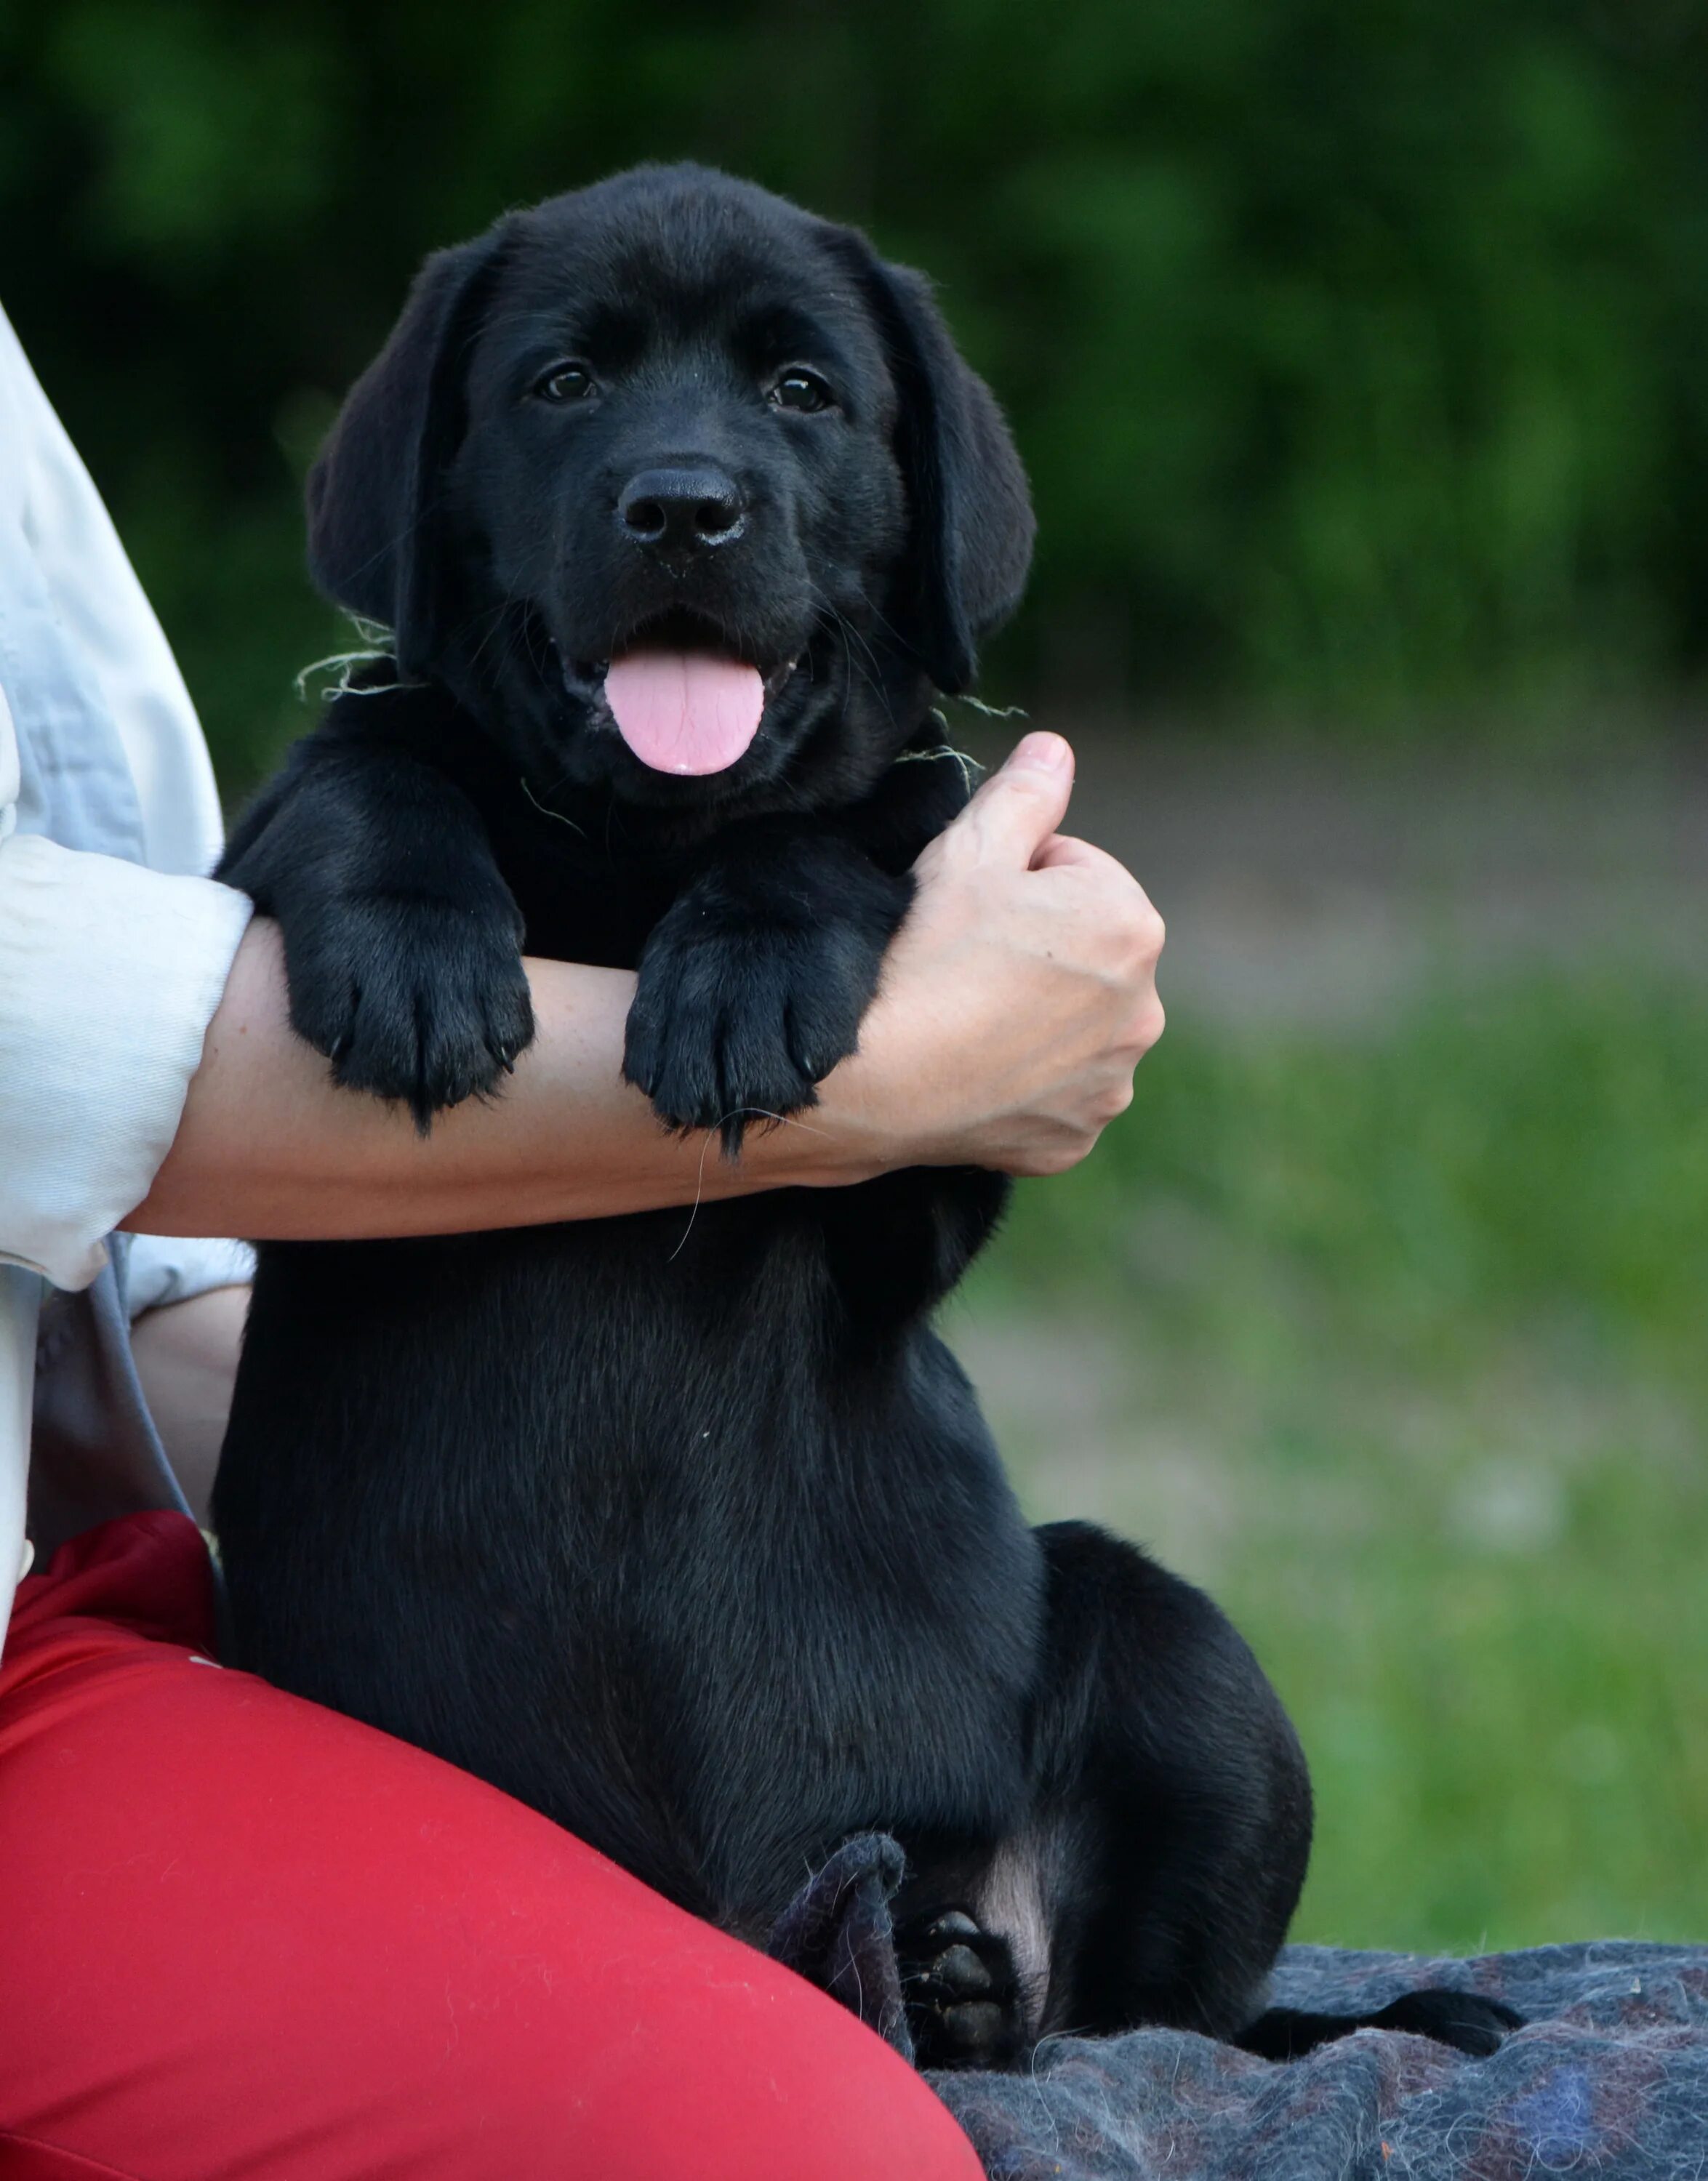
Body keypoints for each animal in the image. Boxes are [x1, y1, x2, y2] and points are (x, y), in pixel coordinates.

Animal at [217, 161, 1527, 2068]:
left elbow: (851, 820)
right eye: (560, 384)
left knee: (1166, 2019)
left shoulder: (927, 1172)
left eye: (801, 392)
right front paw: (410, 949)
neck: (642, 847)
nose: (683, 508)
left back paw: (992, 1988)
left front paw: (748, 972)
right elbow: (367, 763)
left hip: (1173, 1649)